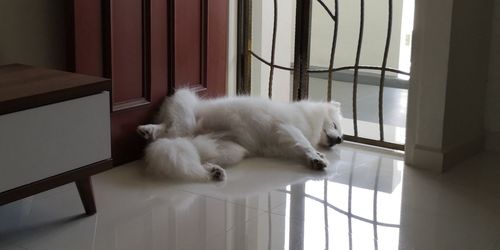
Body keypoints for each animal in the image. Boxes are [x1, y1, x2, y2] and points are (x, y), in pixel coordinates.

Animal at [136, 90, 344, 182]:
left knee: (200, 160)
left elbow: (302, 148)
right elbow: (305, 144)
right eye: (335, 125)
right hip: (184, 110)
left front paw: (318, 157)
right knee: (167, 129)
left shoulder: (284, 142)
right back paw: (148, 129)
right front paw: (317, 158)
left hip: (232, 152)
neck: (309, 118)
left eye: (341, 134)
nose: (340, 140)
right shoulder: (288, 129)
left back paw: (214, 171)